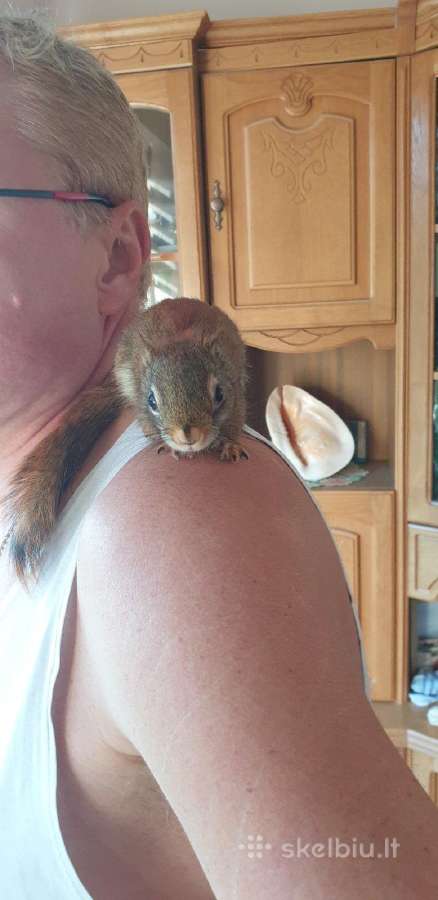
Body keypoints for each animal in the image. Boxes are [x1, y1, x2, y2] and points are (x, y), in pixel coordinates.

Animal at [3, 297, 249, 585]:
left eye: (219, 394)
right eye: (152, 401)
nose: (188, 436)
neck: (180, 338)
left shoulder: (236, 389)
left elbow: (233, 421)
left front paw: (230, 444)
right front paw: (165, 445)